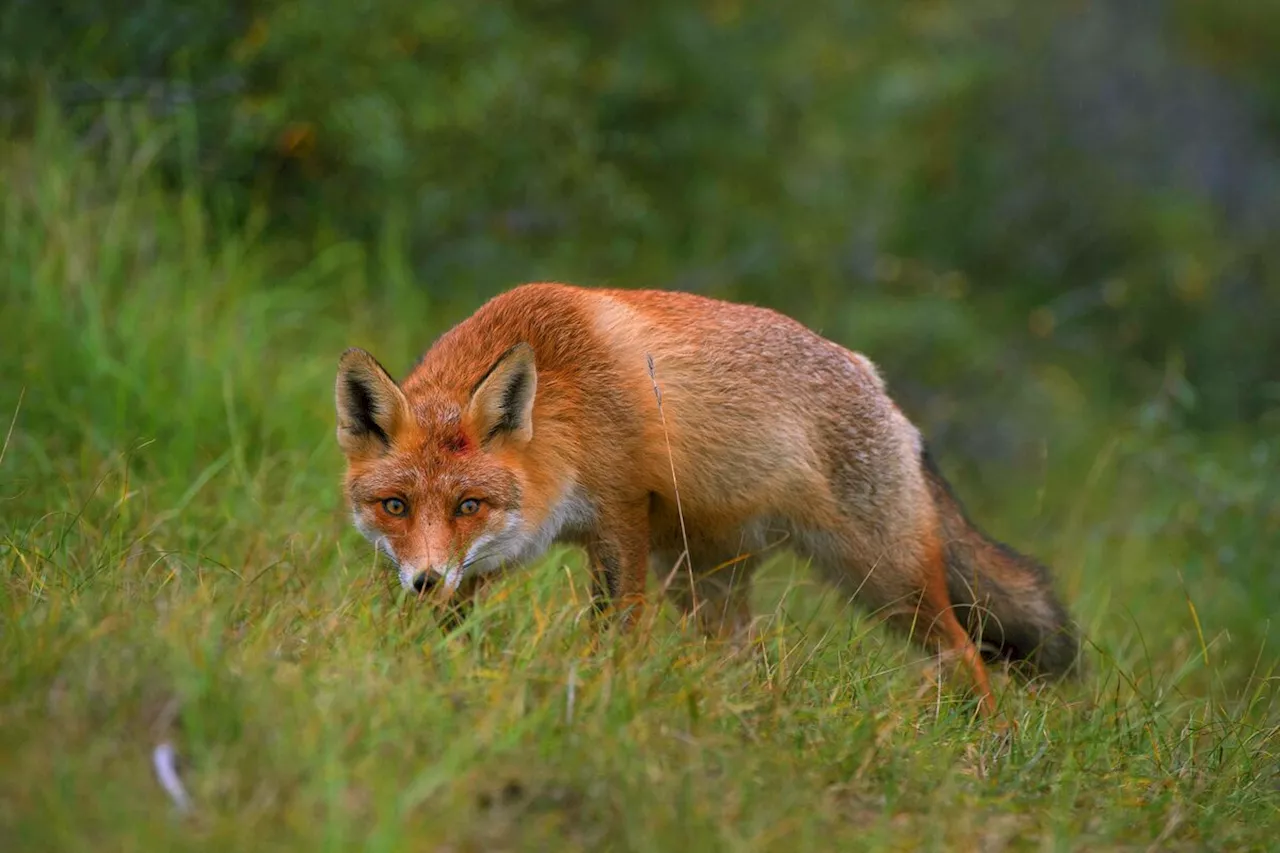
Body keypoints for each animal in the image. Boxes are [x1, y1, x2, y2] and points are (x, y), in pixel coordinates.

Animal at [337, 284, 1080, 712]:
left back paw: (987, 749)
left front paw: (606, 691)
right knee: (749, 662)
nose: (423, 580)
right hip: (702, 584)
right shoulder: (485, 561)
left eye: (469, 505)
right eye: (395, 506)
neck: (565, 406)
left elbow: (616, 632)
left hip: (886, 581)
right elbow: (449, 628)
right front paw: (430, 669)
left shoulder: (620, 515)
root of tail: (881, 388)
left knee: (967, 656)